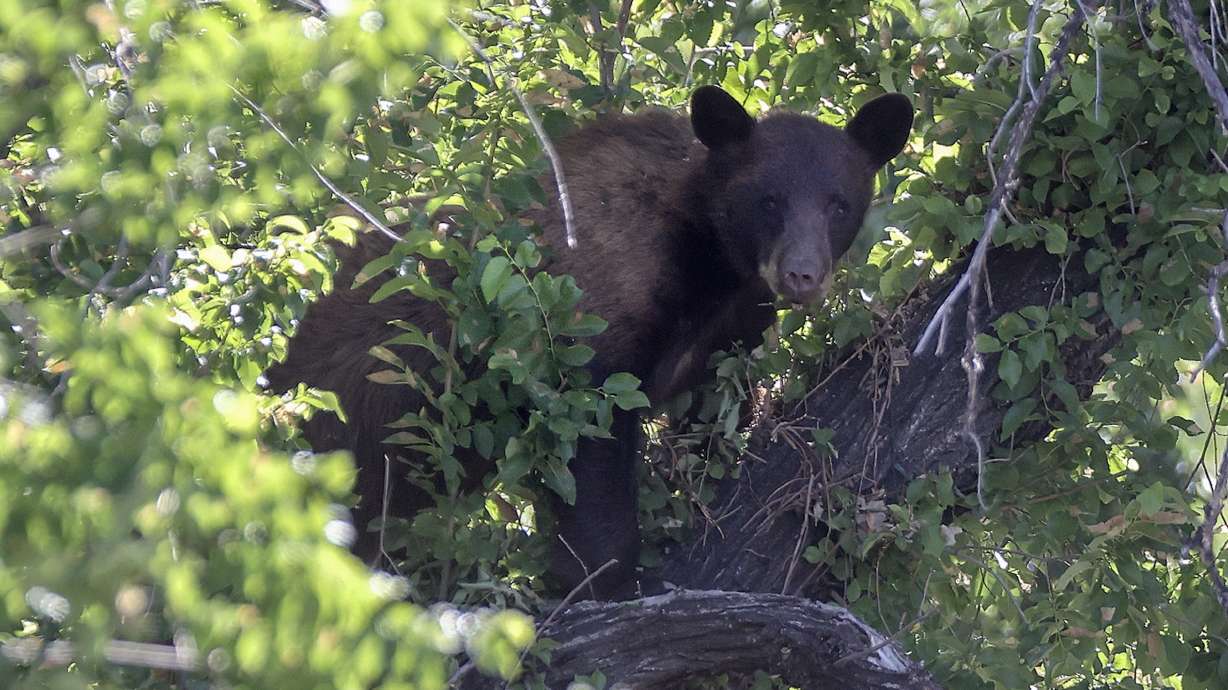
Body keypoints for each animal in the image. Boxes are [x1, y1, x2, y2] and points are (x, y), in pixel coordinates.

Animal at [265, 85, 913, 599]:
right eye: (769, 199)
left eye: (839, 203)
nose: (802, 275)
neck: (708, 259)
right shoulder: (590, 313)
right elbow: (588, 438)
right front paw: (607, 579)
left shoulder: (730, 328)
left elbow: (712, 415)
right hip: (349, 415)